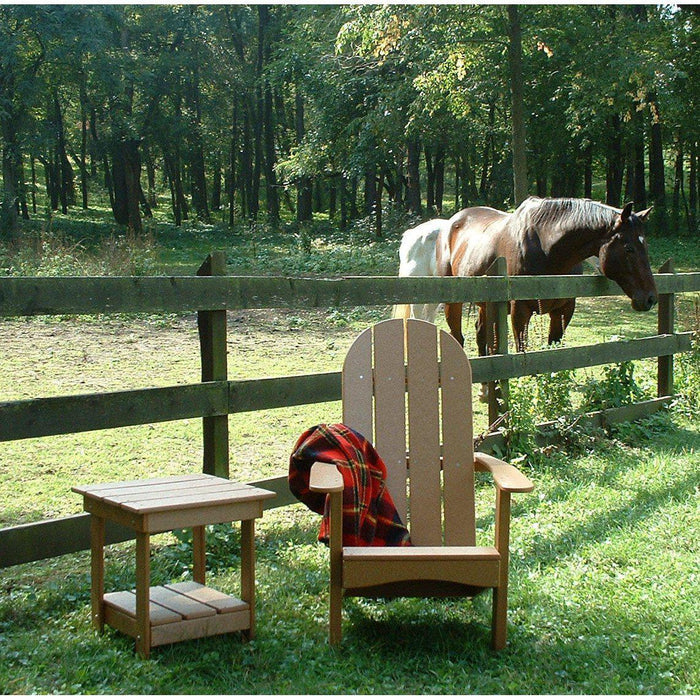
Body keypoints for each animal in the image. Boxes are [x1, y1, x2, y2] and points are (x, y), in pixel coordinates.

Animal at [434, 198, 660, 356]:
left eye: (646, 246)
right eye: (629, 248)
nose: (650, 298)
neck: (546, 249)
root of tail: (452, 222)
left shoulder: (563, 310)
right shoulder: (520, 311)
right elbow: (522, 351)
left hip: (486, 304)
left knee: (481, 335)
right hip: (453, 303)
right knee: (459, 337)